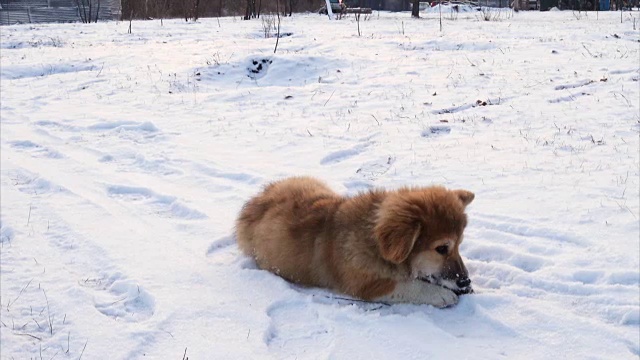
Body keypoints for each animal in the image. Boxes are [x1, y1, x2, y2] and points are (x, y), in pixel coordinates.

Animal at [235, 176, 476, 306]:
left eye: (459, 244)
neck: (374, 241)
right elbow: (410, 285)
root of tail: (255, 201)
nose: (465, 282)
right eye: (441, 248)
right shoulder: (366, 285)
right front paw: (442, 295)